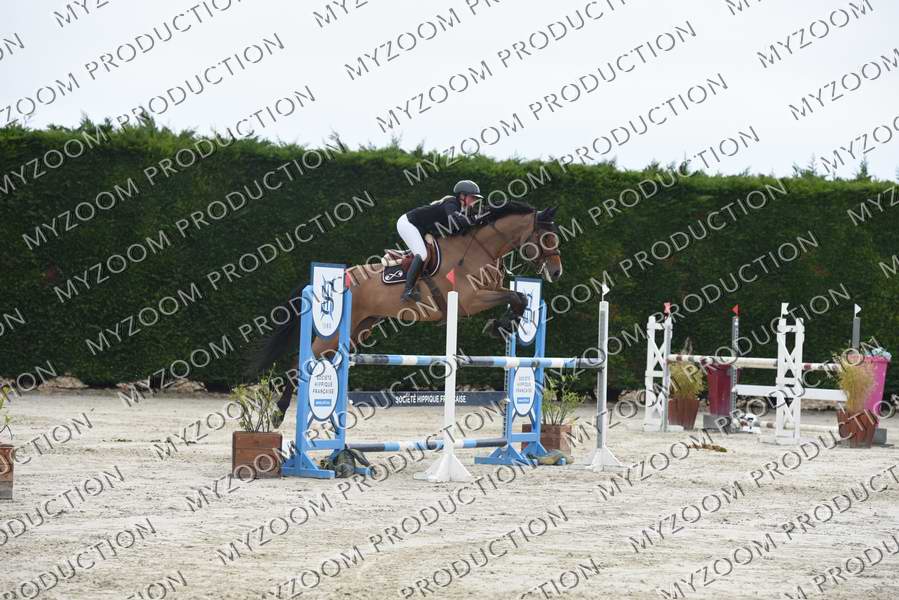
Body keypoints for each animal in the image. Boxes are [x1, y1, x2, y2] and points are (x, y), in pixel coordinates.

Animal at [248, 202, 564, 427]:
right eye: (547, 237)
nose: (557, 271)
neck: (481, 249)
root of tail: (341, 277)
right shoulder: (470, 300)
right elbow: (515, 296)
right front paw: (498, 325)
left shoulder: (490, 290)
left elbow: (520, 297)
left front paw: (503, 325)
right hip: (341, 329)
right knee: (300, 363)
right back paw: (278, 414)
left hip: (359, 328)